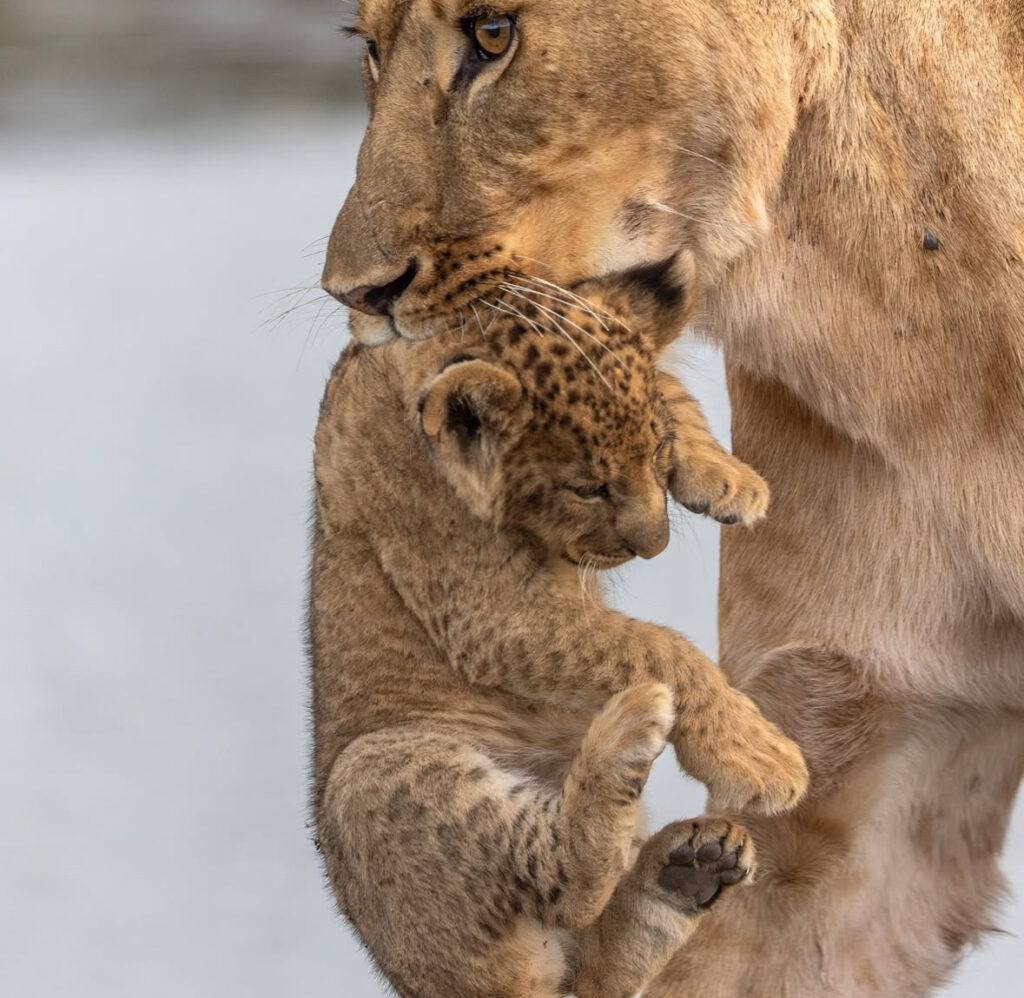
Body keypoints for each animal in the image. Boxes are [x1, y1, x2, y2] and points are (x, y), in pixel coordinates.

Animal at [309, 267, 807, 998]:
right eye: (587, 489)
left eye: (657, 454)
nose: (655, 549)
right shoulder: (490, 616)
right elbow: (657, 647)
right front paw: (757, 756)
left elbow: (649, 362)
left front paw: (727, 477)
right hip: (370, 773)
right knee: (567, 888)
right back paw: (630, 733)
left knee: (597, 973)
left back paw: (690, 866)